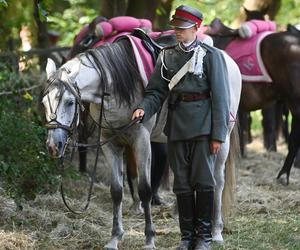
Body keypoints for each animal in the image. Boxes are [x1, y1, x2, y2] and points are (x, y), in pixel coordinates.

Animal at [41, 36, 241, 248]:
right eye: (44, 102)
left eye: (70, 102)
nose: (54, 145)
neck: (114, 88)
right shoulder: (110, 143)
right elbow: (116, 191)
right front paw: (115, 237)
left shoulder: (141, 141)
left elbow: (145, 189)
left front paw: (149, 239)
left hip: (221, 142)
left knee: (217, 181)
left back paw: (216, 231)